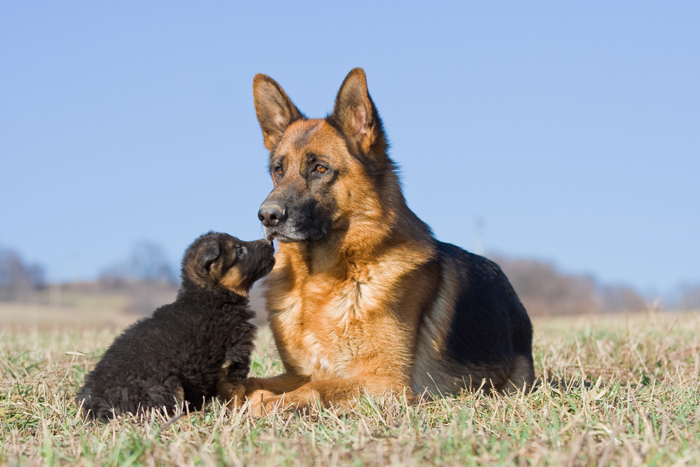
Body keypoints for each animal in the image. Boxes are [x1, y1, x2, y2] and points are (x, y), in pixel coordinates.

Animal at [76, 232, 274, 422]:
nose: (270, 242)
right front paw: (240, 415)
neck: (212, 298)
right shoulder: (234, 360)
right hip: (166, 382)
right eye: (239, 250)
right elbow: (235, 397)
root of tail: (95, 402)